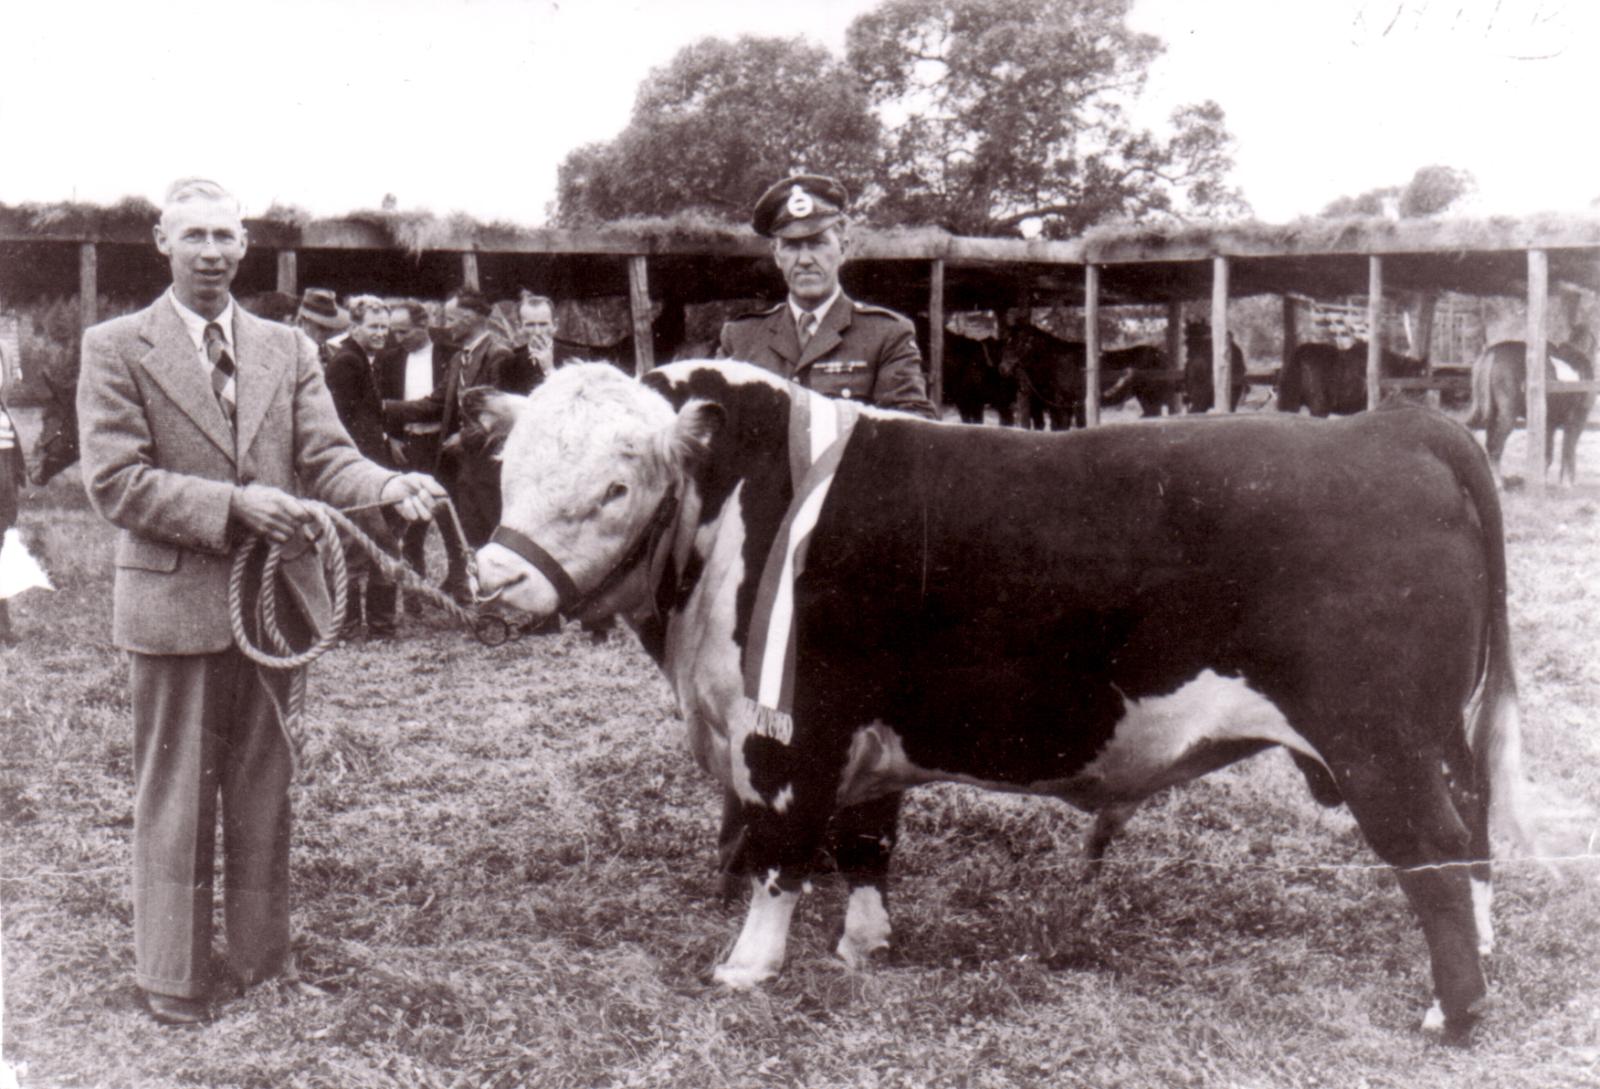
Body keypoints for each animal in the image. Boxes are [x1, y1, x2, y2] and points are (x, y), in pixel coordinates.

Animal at [467, 361, 1529, 1042]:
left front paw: (748, 966)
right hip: (1439, 734)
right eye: (506, 471)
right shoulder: (859, 739)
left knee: (1436, 853)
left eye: (617, 483)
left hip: (1379, 739)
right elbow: (864, 840)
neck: (741, 508)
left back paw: (1455, 1013)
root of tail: (1392, 424)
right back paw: (1475, 965)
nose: (493, 580)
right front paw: (864, 944)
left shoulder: (791, 733)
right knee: (1474, 833)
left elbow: (780, 850)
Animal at [1465, 331, 1593, 482]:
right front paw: (1566, 483)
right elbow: (1568, 451)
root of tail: (1492, 352)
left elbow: (1549, 455)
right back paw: (1498, 482)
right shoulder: (1577, 420)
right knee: (1495, 445)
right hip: (1507, 416)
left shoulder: (1550, 423)